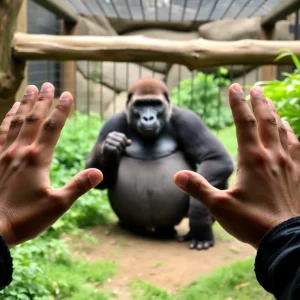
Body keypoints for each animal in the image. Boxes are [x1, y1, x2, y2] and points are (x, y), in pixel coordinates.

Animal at [85, 76, 234, 250]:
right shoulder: (111, 123)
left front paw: (199, 217)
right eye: (140, 105)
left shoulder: (188, 119)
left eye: (155, 104)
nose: (148, 118)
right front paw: (110, 146)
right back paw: (127, 225)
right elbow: (97, 175)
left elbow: (216, 158)